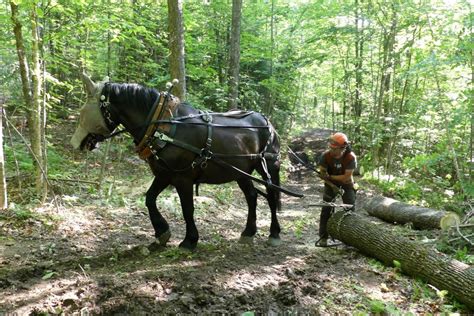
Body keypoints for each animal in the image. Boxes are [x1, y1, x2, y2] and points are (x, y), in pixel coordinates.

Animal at [70, 73, 288, 251]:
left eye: (83, 111)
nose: (75, 143)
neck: (163, 128)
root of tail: (266, 120)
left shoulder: (183, 178)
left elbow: (187, 208)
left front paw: (189, 240)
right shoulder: (164, 174)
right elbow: (150, 199)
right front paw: (161, 233)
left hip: (268, 166)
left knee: (271, 195)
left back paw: (274, 233)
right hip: (241, 172)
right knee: (252, 196)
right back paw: (248, 232)